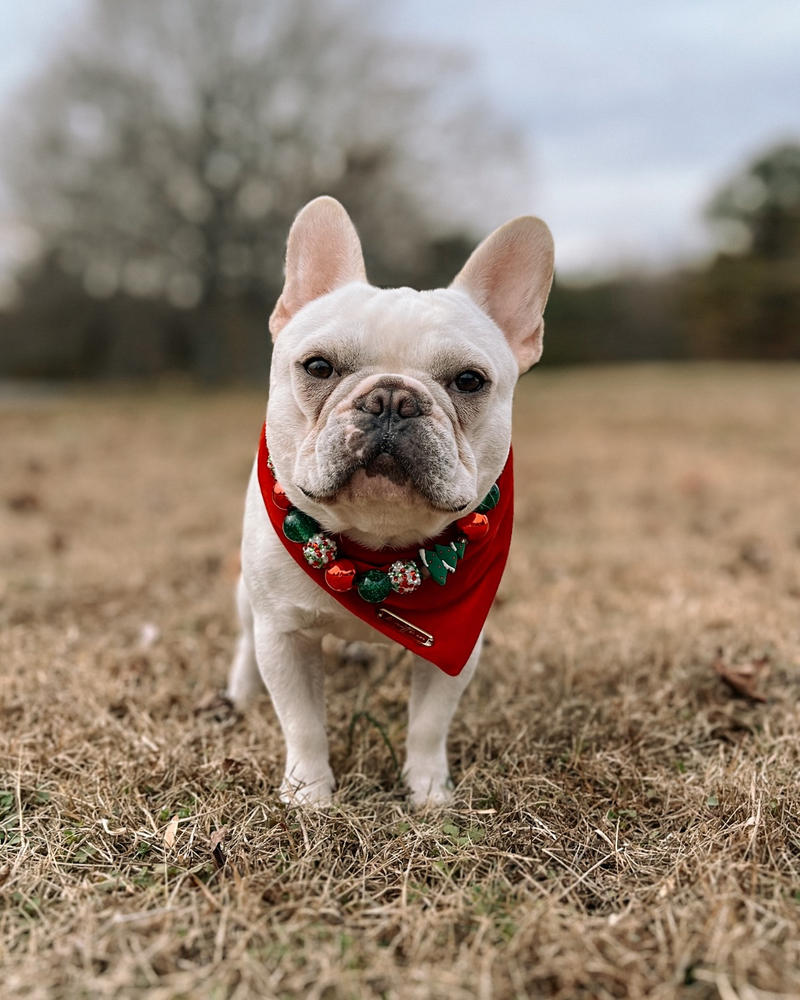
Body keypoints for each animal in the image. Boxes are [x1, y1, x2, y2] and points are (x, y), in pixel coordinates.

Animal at [225, 195, 552, 804]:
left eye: (469, 380)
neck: (375, 550)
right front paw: (308, 794)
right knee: (242, 643)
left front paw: (428, 793)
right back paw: (239, 693)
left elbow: (428, 724)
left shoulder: (456, 651)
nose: (393, 400)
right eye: (318, 366)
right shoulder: (282, 635)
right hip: (245, 601)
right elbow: (302, 723)